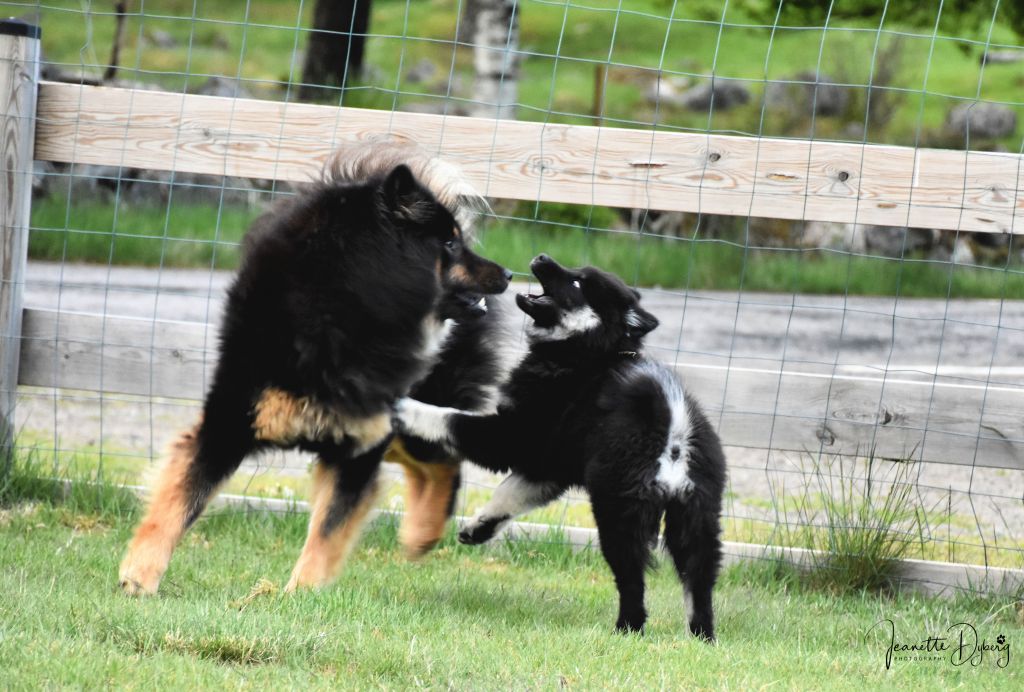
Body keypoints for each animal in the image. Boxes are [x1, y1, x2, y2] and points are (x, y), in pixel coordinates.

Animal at [118, 144, 510, 596]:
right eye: (448, 243)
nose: (508, 273)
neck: (340, 308)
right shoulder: (230, 422)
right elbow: (179, 501)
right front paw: (139, 578)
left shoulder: (358, 445)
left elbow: (327, 531)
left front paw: (298, 595)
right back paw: (420, 535)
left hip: (417, 412)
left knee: (445, 459)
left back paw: (422, 533)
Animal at [396, 254, 726, 640]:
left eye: (579, 283)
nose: (541, 258)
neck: (584, 354)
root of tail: (675, 437)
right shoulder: (548, 465)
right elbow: (508, 495)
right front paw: (478, 529)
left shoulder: (512, 437)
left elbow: (446, 418)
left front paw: (402, 406)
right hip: (698, 518)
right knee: (699, 582)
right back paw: (702, 638)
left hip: (619, 509)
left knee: (632, 580)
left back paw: (627, 629)